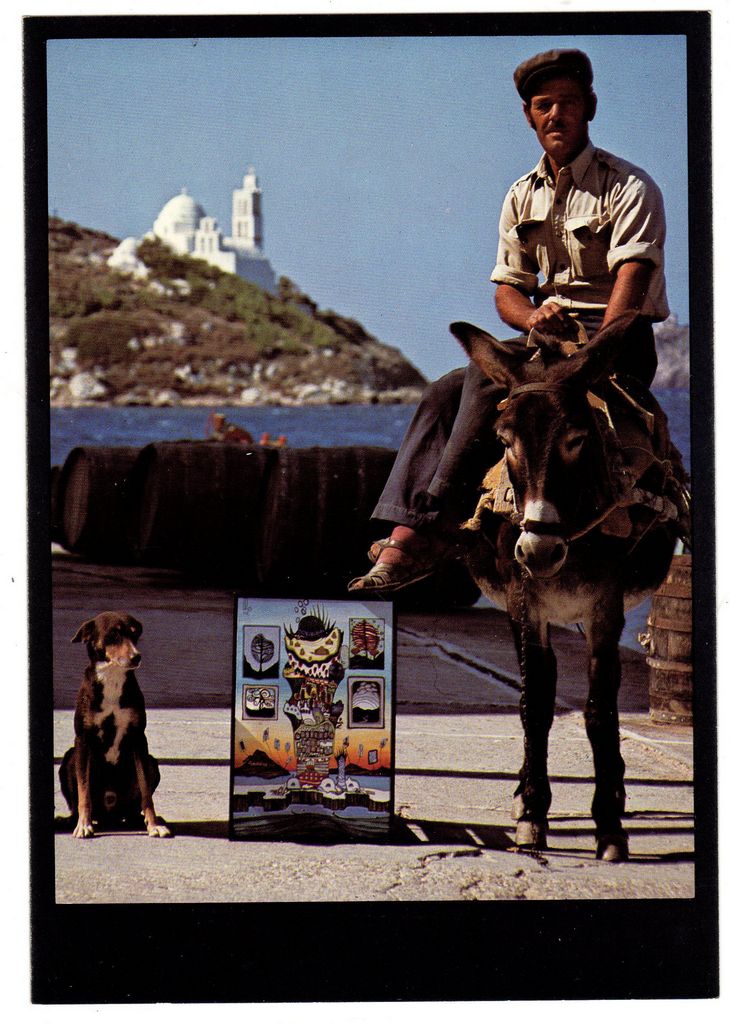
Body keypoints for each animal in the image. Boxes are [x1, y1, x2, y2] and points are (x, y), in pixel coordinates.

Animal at [59, 611, 172, 839]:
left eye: (135, 634)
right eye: (113, 635)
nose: (136, 656)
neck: (112, 677)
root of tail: (109, 816)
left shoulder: (139, 738)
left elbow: (146, 792)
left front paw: (154, 825)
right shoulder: (83, 739)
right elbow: (84, 791)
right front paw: (83, 825)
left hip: (151, 763)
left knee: (132, 809)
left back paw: (141, 819)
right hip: (69, 758)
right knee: (77, 802)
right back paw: (72, 820)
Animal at [449, 312, 690, 862]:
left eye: (577, 437)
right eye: (504, 438)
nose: (539, 550)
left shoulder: (605, 609)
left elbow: (600, 710)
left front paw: (609, 826)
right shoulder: (525, 605)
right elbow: (534, 704)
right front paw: (532, 815)